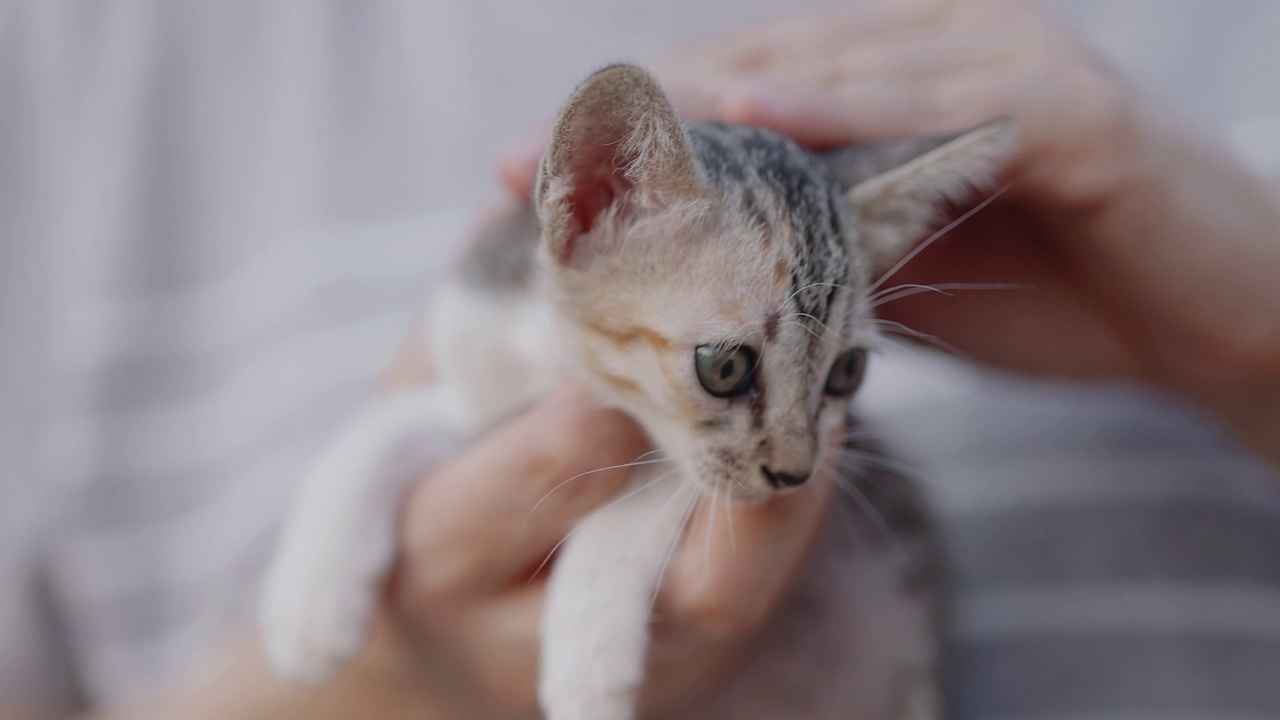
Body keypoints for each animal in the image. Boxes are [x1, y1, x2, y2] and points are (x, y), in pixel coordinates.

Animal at [259, 64, 1008, 712]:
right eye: (724, 368)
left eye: (848, 372)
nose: (796, 473)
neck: (561, 364)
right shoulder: (479, 379)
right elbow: (382, 427)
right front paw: (310, 602)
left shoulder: (677, 455)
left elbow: (644, 488)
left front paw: (586, 663)